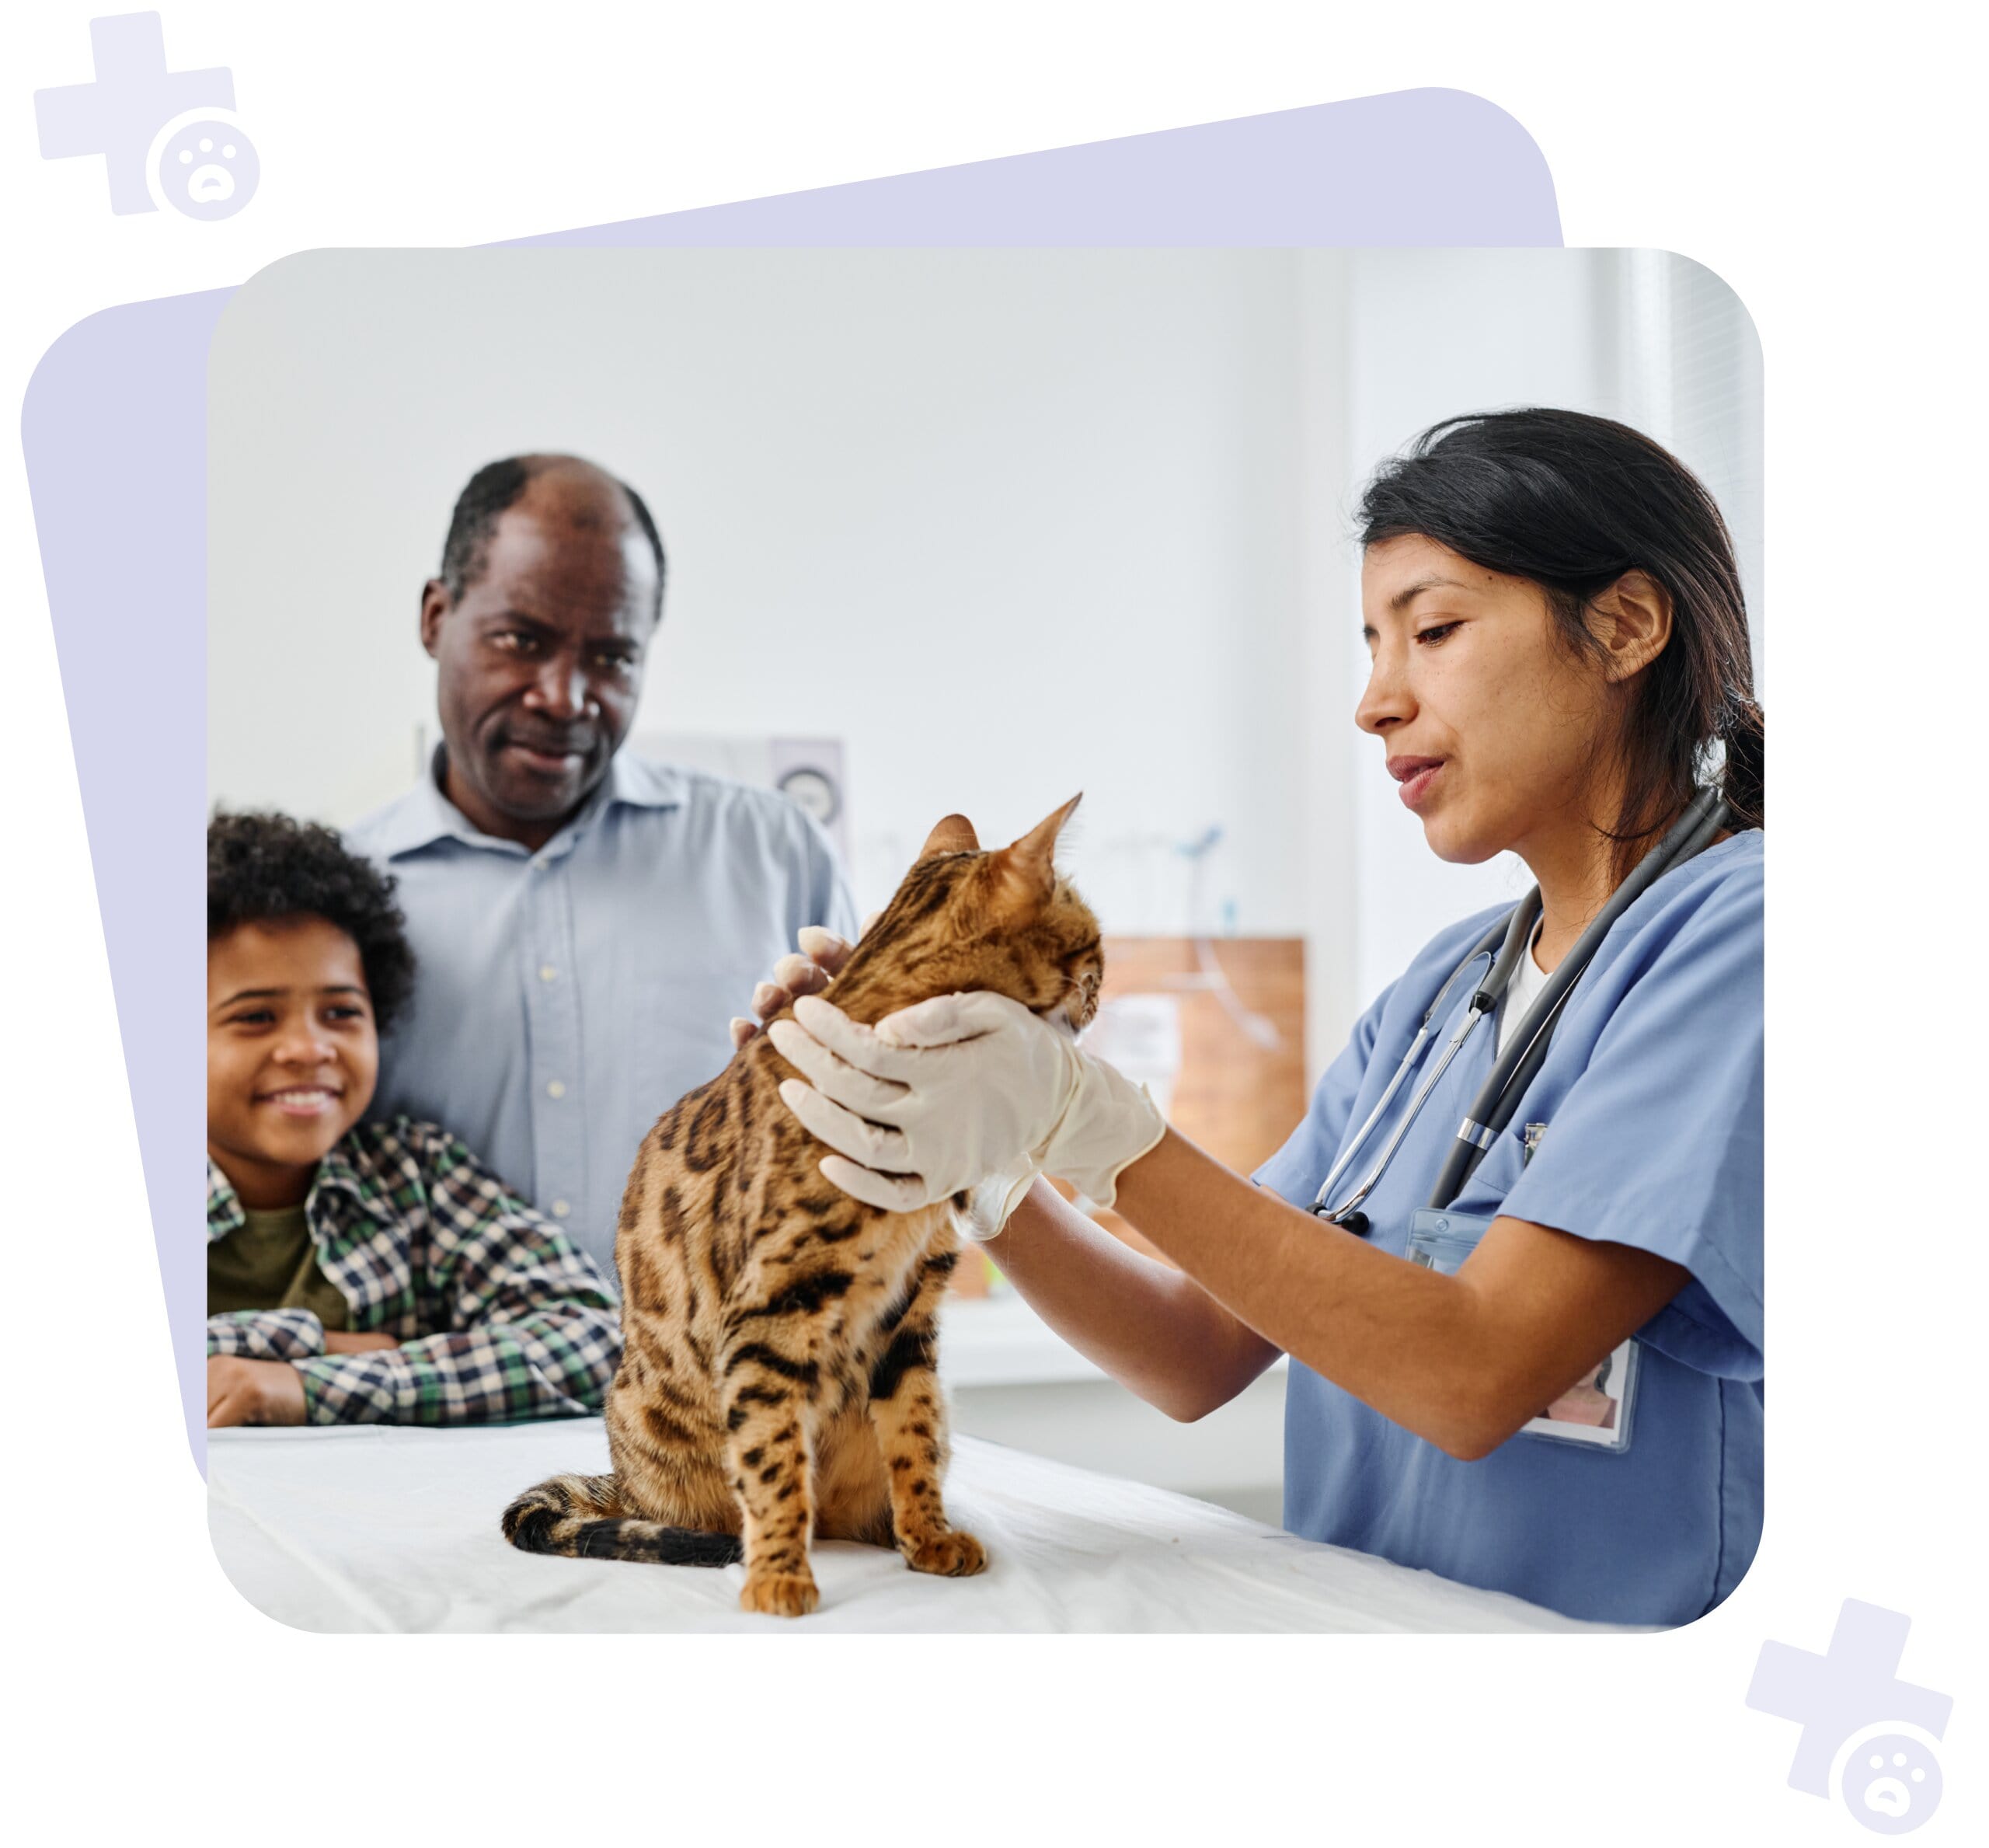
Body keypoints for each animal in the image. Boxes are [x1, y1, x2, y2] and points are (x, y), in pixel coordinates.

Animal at [501, 795, 1106, 1615]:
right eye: (1096, 945)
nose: (1103, 991)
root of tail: (620, 1481)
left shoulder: (909, 1315)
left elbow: (913, 1437)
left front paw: (928, 1535)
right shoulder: (769, 1316)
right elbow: (772, 1460)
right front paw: (779, 1573)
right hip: (645, 1419)